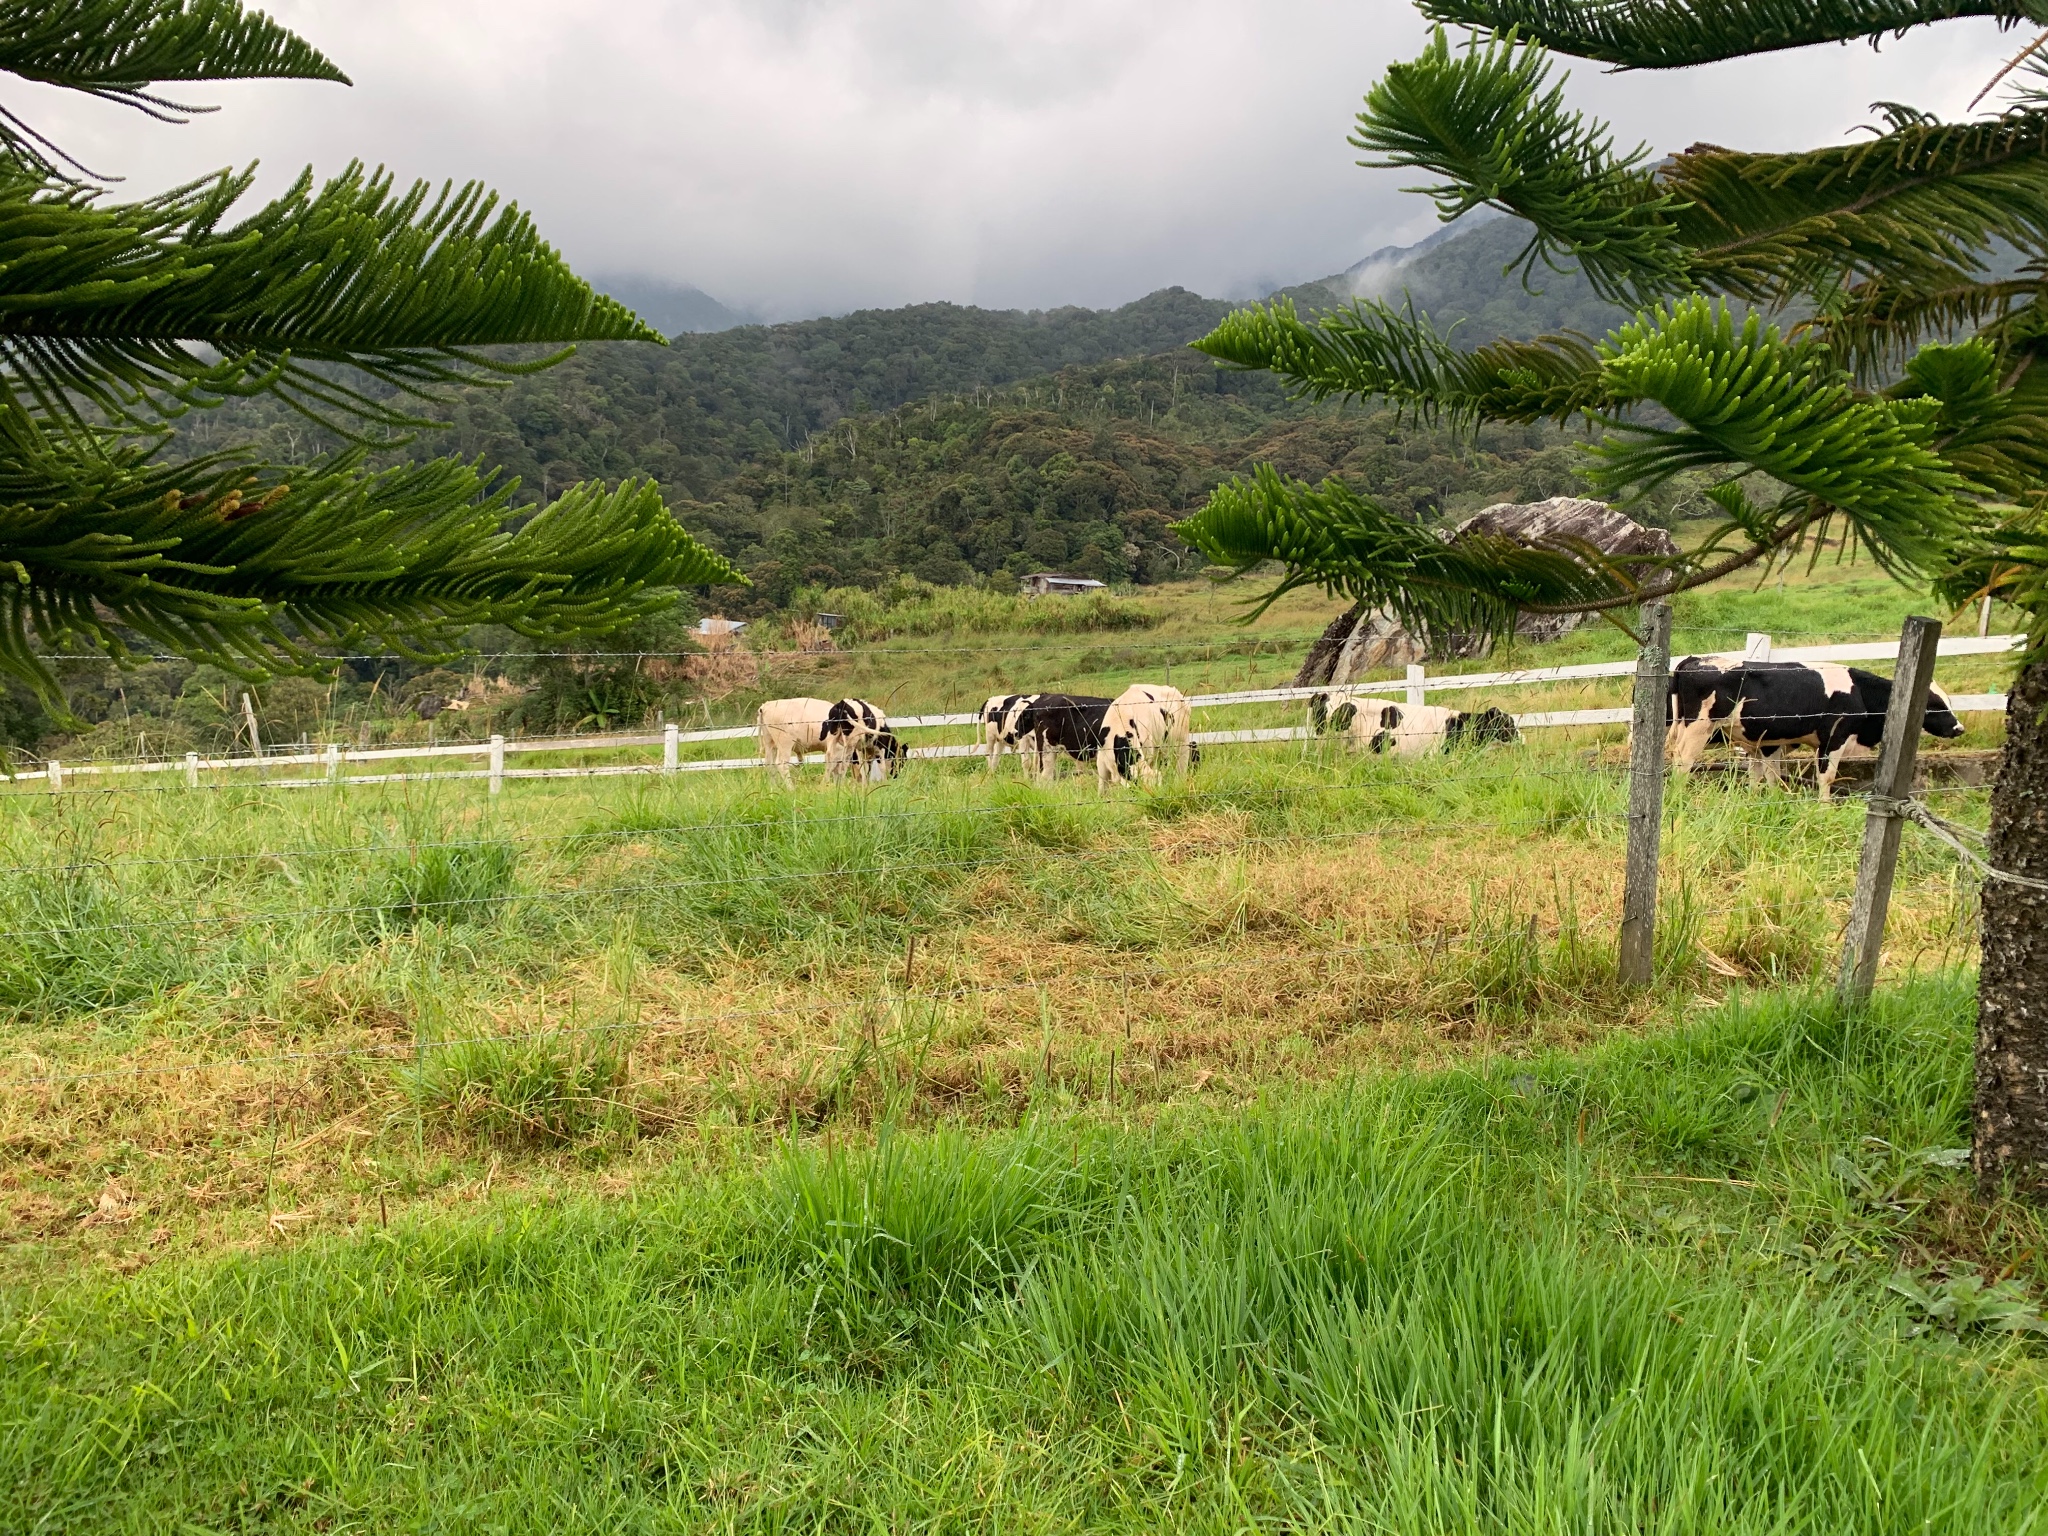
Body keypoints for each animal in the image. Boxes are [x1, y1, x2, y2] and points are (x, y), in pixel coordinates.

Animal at [1662, 659, 1966, 798]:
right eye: (1935, 705)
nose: (1959, 728)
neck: (1859, 693)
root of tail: (1693, 660)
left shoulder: (1766, 741)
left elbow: (1764, 775)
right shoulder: (1834, 738)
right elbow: (1826, 776)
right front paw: (1824, 807)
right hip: (1697, 730)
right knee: (1682, 763)